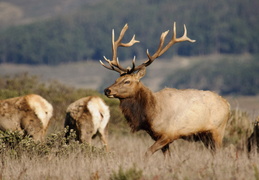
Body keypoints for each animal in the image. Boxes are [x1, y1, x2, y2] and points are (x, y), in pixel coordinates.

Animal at [100, 22, 232, 158]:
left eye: (127, 81)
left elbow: (147, 152)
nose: (107, 90)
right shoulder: (157, 136)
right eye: (116, 79)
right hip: (205, 136)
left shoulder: (169, 134)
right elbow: (167, 157)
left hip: (218, 130)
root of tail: (227, 105)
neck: (150, 114)